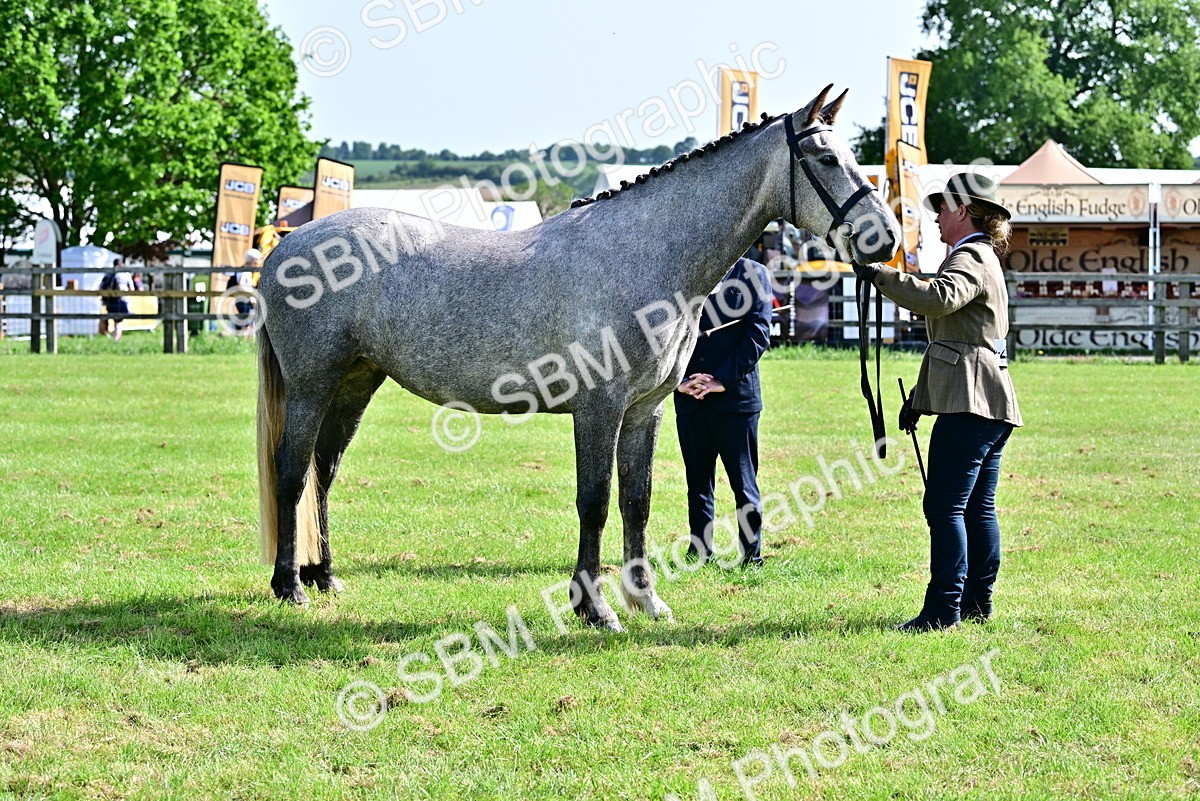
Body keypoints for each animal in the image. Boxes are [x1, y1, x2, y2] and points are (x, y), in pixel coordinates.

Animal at [256, 84, 900, 631]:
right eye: (823, 158)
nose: (887, 238)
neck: (644, 255)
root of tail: (286, 246)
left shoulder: (643, 411)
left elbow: (637, 502)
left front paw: (646, 600)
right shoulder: (600, 409)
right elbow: (595, 502)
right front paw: (595, 608)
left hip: (356, 383)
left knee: (323, 470)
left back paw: (326, 576)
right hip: (312, 386)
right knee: (292, 471)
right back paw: (290, 585)